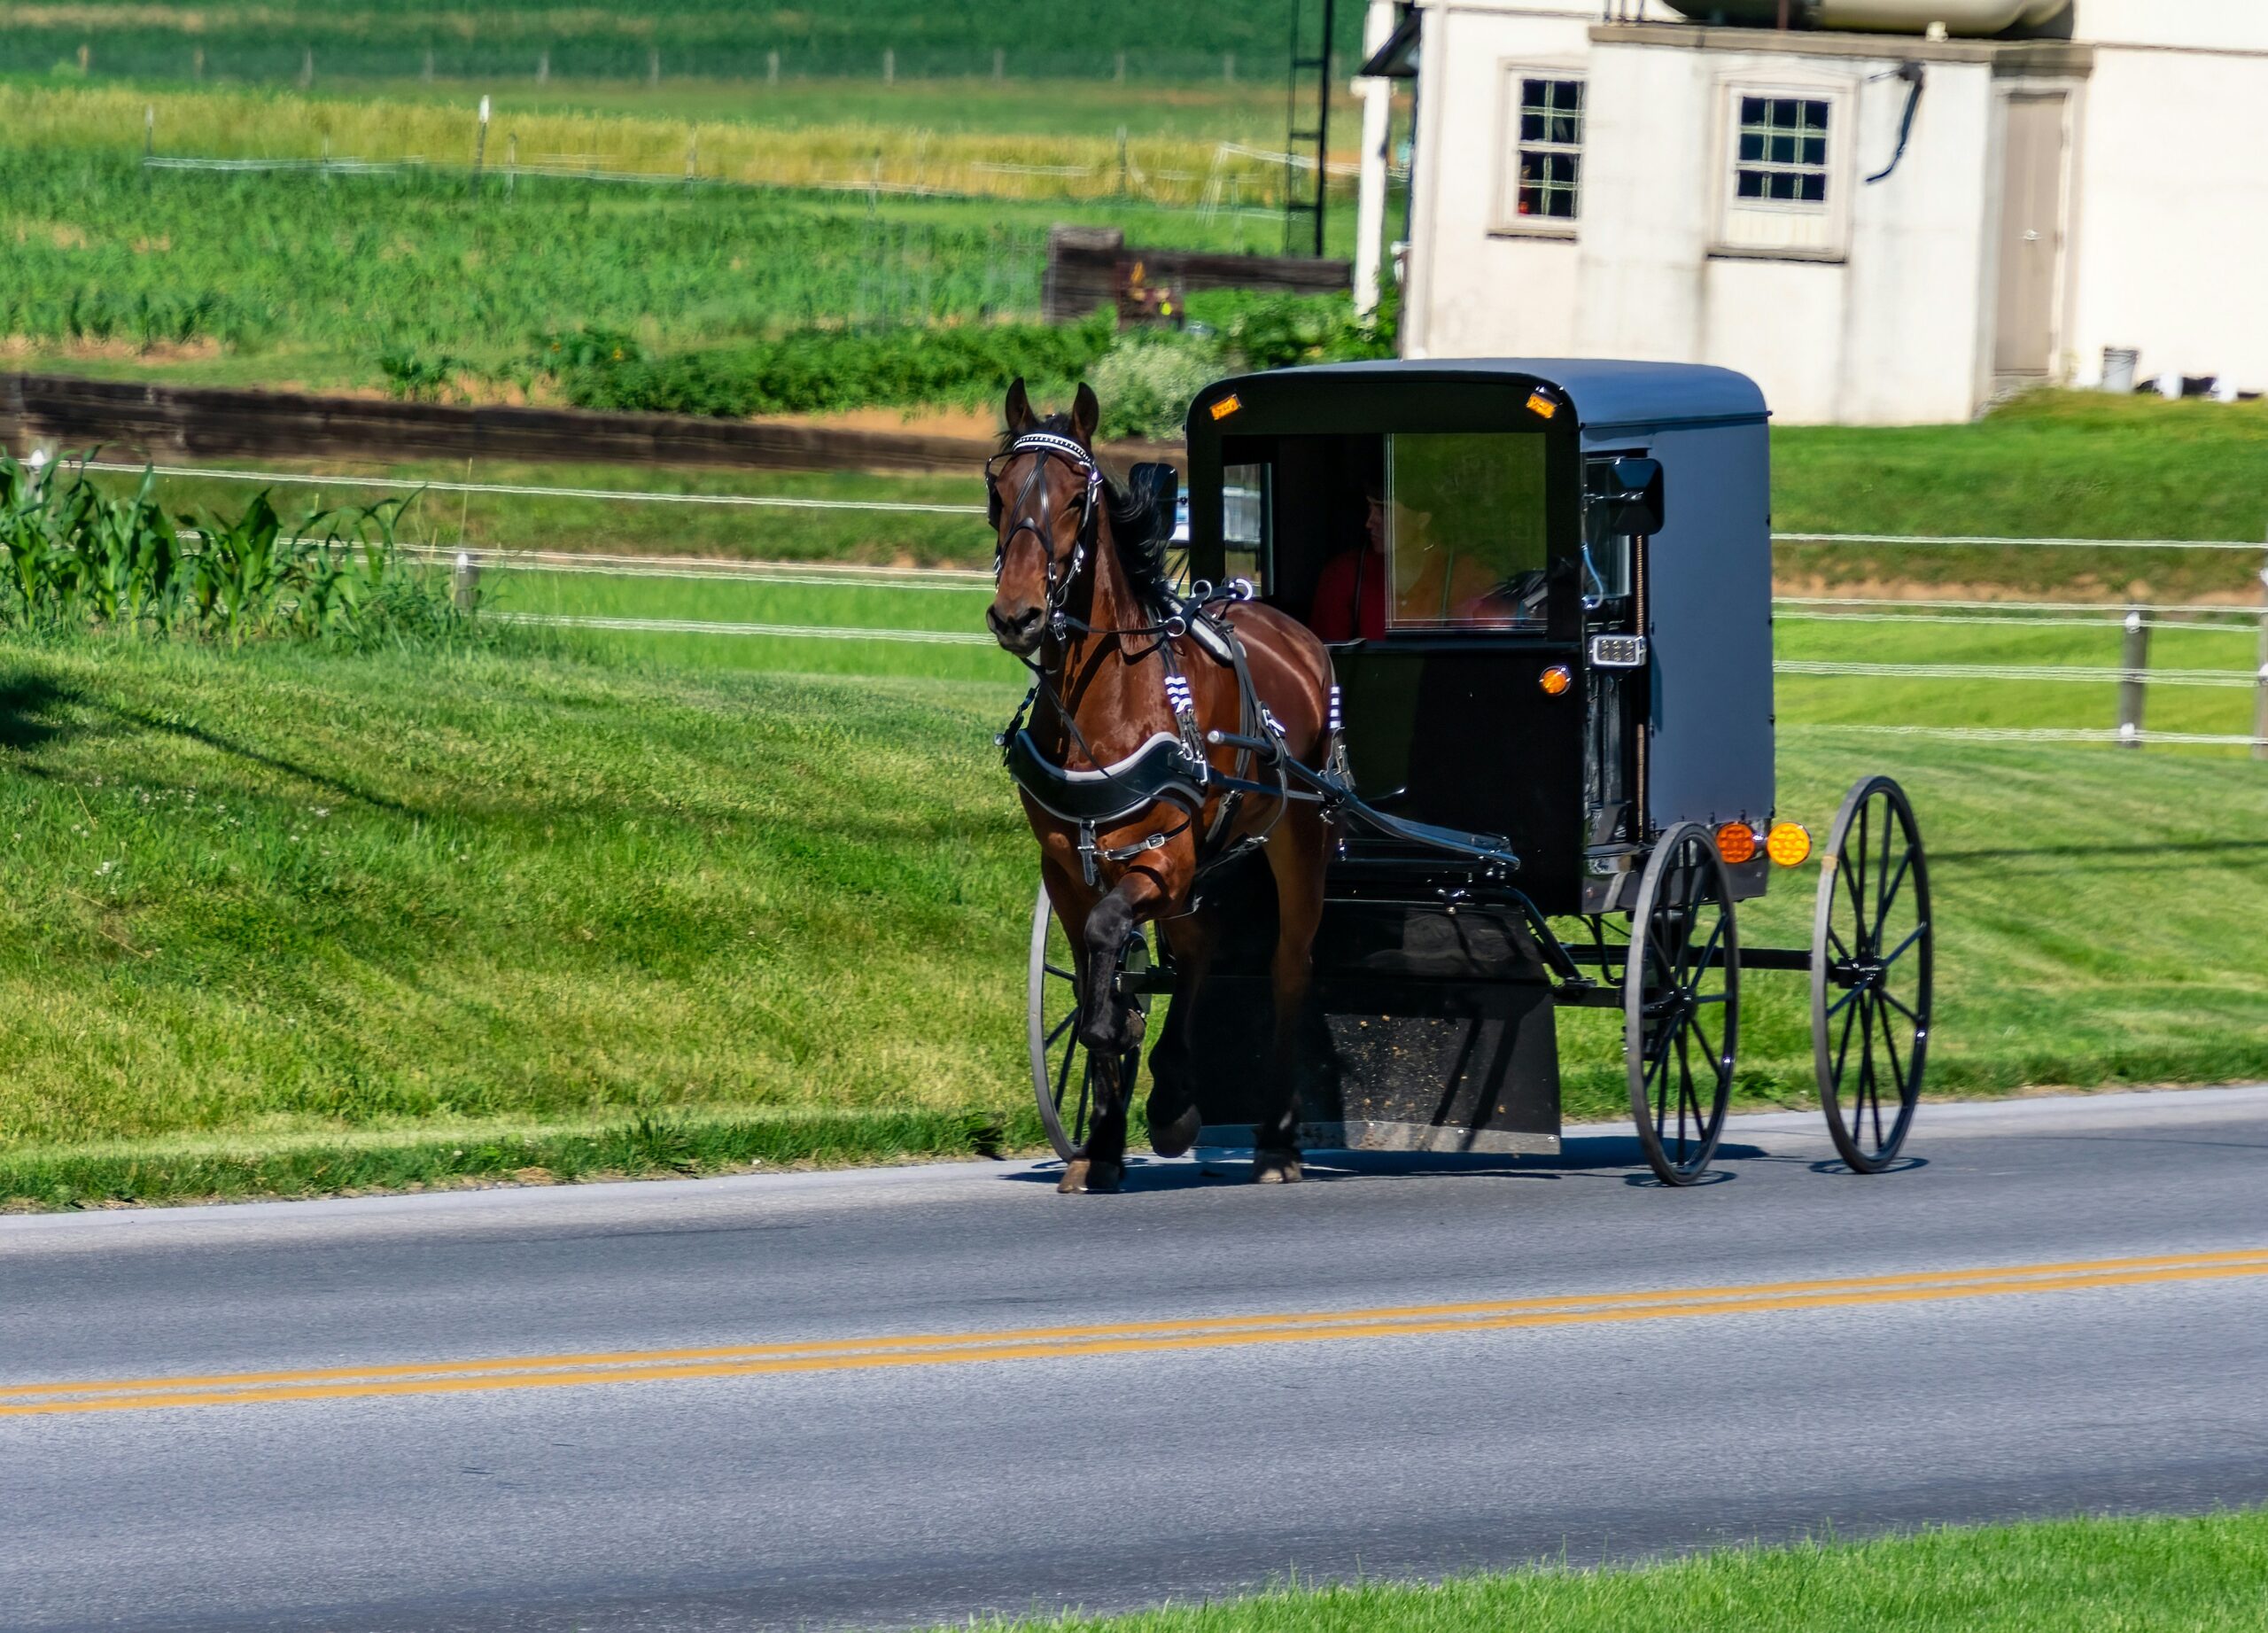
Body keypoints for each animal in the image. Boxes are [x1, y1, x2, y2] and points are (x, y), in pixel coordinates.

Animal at [989, 376, 1333, 1188]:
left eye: (1076, 496)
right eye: (999, 488)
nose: (1018, 614)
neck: (1103, 699)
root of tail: (1291, 628)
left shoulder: (1164, 858)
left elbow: (1110, 950)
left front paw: (1121, 1045)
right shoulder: (1066, 866)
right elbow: (1096, 970)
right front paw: (1103, 1141)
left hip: (1297, 837)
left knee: (1287, 967)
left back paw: (1276, 1139)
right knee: (1201, 941)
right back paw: (1174, 1090)